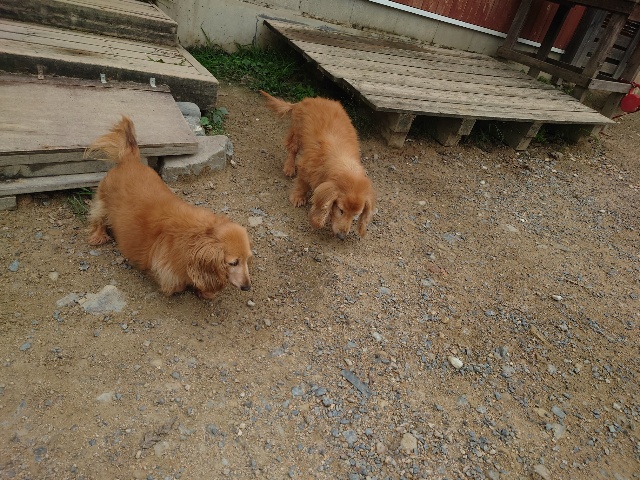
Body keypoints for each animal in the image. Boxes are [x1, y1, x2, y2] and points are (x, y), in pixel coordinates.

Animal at [85, 116, 252, 299]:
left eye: (247, 260)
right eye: (233, 262)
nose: (247, 287)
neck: (199, 236)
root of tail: (130, 159)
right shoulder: (166, 271)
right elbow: (177, 285)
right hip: (103, 200)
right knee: (98, 218)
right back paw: (98, 236)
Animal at [260, 91, 376, 239]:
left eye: (356, 215)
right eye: (341, 210)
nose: (341, 236)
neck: (342, 160)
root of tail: (306, 100)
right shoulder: (306, 167)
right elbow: (302, 184)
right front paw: (298, 197)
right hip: (297, 132)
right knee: (292, 150)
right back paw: (289, 167)